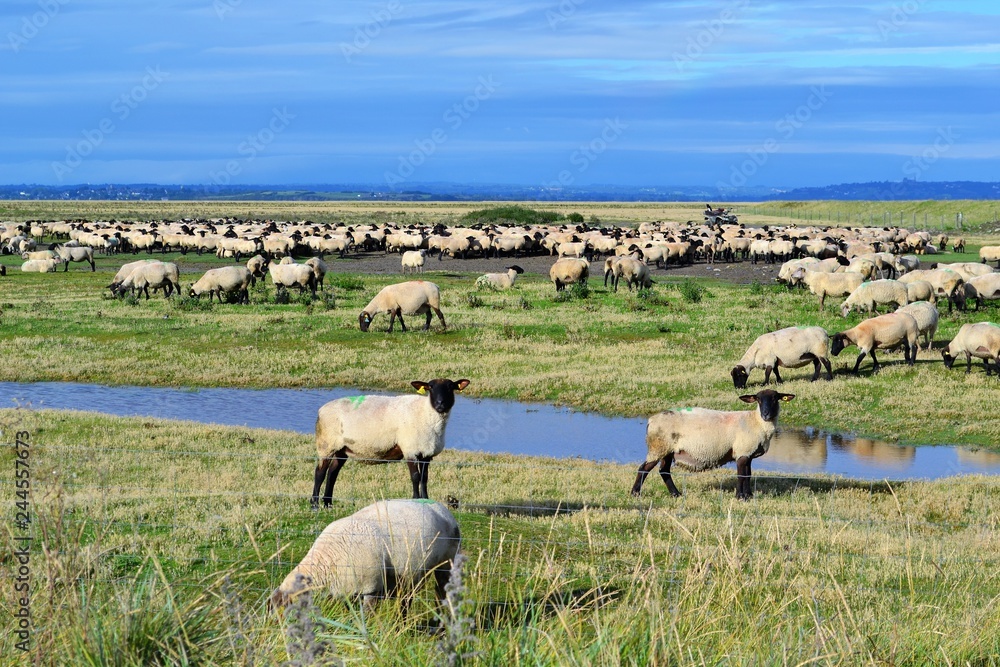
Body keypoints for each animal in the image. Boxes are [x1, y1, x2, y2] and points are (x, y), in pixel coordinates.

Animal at [311, 378, 470, 505]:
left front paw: (426, 499)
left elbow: (424, 478)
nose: (440, 404)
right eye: (430, 387)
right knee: (320, 473)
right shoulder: (410, 450)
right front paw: (415, 499)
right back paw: (315, 504)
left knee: (332, 473)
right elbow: (415, 477)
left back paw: (328, 504)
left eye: (451, 387)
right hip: (326, 444)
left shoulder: (426, 453)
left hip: (342, 449)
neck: (426, 413)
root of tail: (321, 410)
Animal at [631, 389, 795, 500]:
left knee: (664, 471)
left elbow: (748, 475)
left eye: (775, 399)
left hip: (668, 450)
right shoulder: (742, 451)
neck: (756, 422)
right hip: (658, 447)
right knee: (643, 469)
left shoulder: (748, 453)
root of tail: (651, 420)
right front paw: (740, 496)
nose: (766, 414)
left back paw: (676, 494)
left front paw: (749, 495)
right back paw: (635, 493)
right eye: (758, 400)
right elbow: (741, 475)